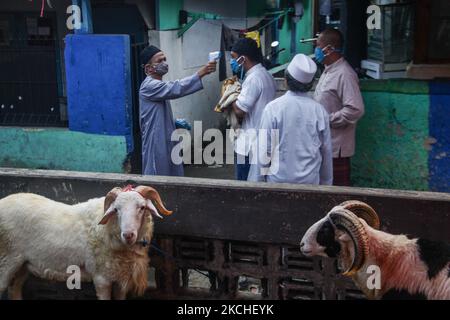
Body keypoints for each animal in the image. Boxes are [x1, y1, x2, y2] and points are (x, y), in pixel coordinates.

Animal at [0, 185, 172, 300]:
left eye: (142, 207)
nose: (128, 235)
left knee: (14, 290)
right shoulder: (101, 278)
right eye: (116, 210)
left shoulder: (121, 280)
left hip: (23, 265)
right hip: (6, 259)